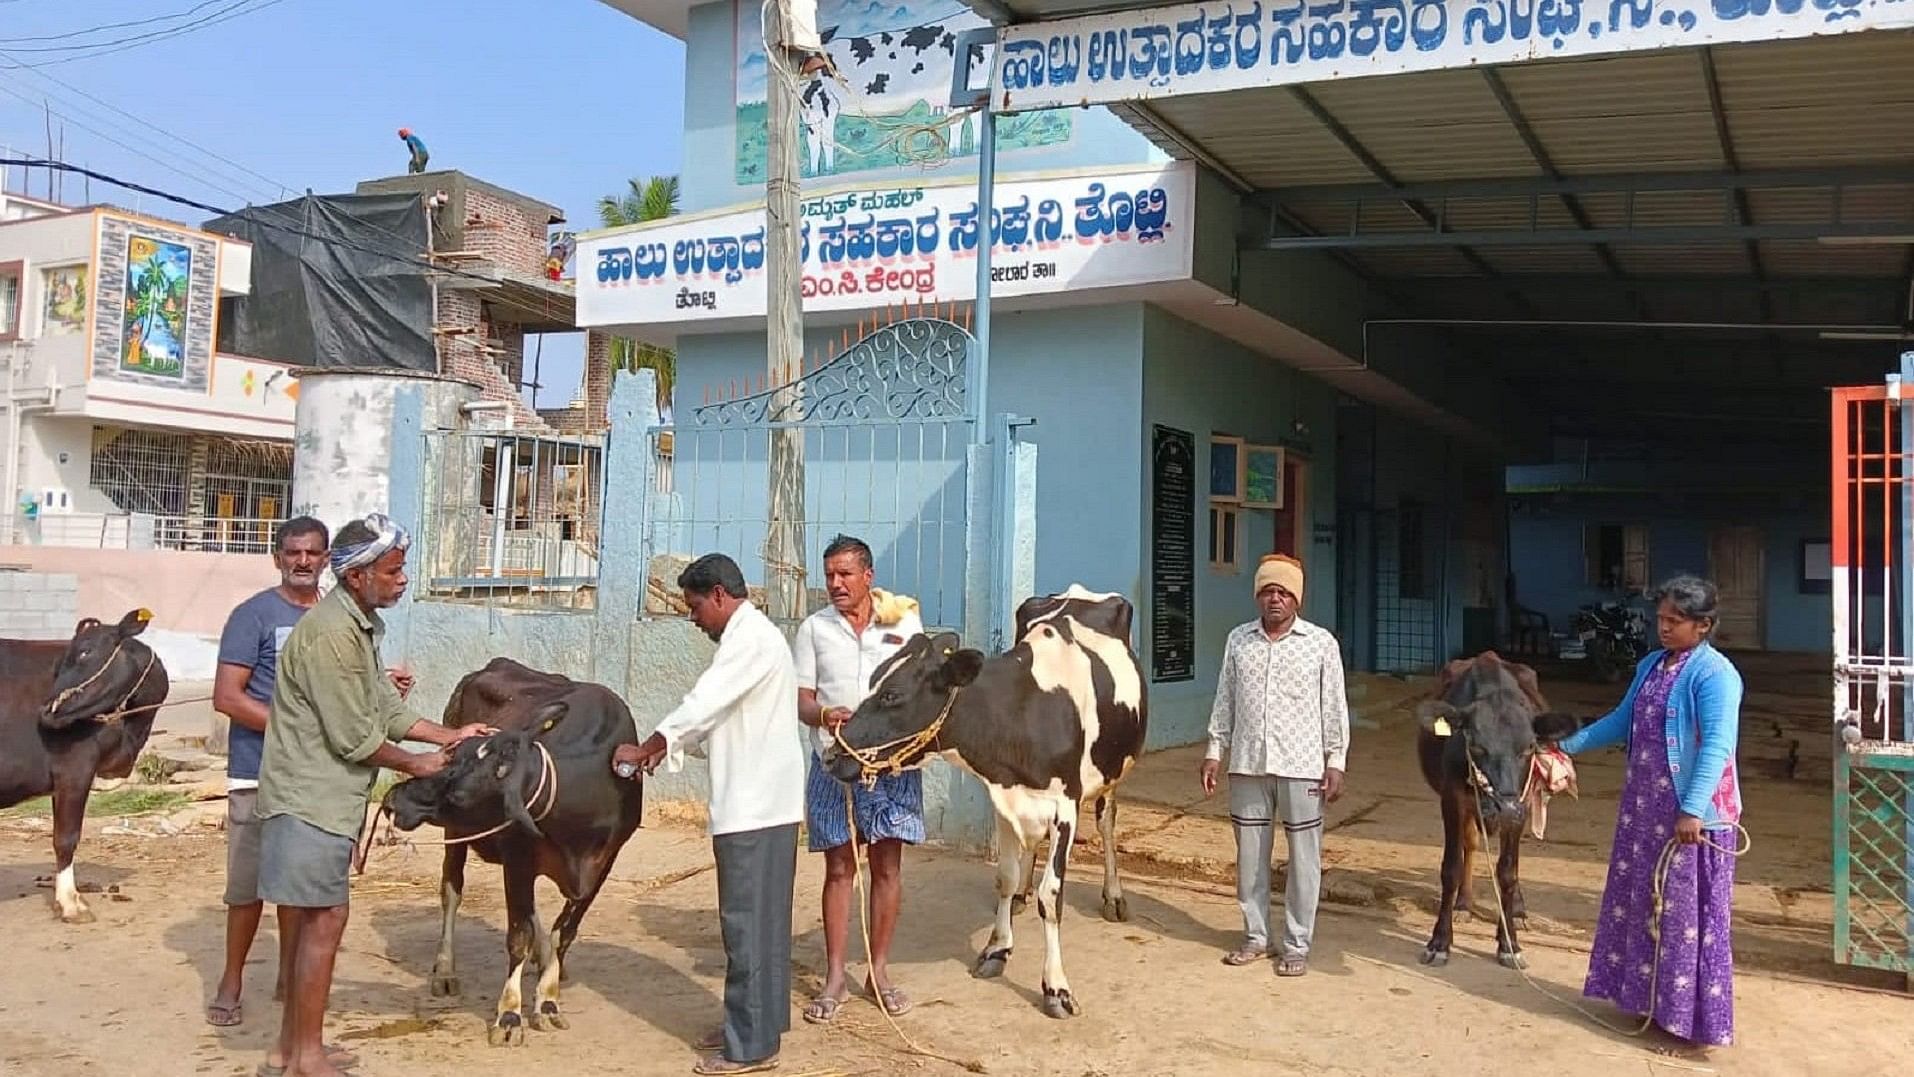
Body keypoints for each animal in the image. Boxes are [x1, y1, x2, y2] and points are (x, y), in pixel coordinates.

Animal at [0, 612, 170, 922]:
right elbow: (65, 838)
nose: (46, 710)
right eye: (60, 662)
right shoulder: (75, 768)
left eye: (84, 652)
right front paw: (71, 903)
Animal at [384, 658, 646, 1048]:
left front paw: (548, 1000)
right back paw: (445, 970)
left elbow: (563, 933)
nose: (393, 799)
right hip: (457, 836)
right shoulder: (518, 856)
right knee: (451, 891)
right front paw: (509, 1015)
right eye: (452, 755)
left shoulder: (603, 863)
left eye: (460, 794)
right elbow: (518, 936)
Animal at [826, 589, 1148, 1017]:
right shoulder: (1003, 798)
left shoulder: (1066, 805)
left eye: (892, 695)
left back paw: (1113, 896)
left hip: (1112, 771)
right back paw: (1023, 895)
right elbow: (1004, 877)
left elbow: (1053, 896)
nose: (831, 756)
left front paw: (1056, 988)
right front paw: (998, 948)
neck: (1024, 708)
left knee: (1107, 820)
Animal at [1416, 654, 1577, 971]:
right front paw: (1439, 943)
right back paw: (1463, 904)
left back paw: (1518, 909)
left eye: (1529, 748)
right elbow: (1451, 867)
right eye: (1477, 746)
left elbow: (1507, 872)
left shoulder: (1522, 802)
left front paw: (1509, 944)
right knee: (1471, 844)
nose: (1505, 808)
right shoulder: (1452, 798)